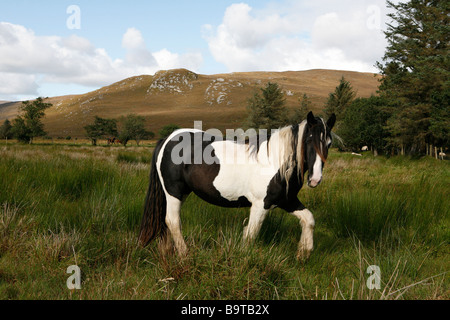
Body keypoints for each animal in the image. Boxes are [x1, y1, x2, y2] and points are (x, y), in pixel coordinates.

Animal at [139, 112, 336, 260]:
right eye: (309, 140)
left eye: (329, 143)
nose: (315, 179)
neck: (276, 162)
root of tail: (167, 139)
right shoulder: (260, 205)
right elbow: (250, 235)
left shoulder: (287, 200)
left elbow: (309, 220)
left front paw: (303, 254)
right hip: (174, 192)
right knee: (172, 221)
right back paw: (184, 254)